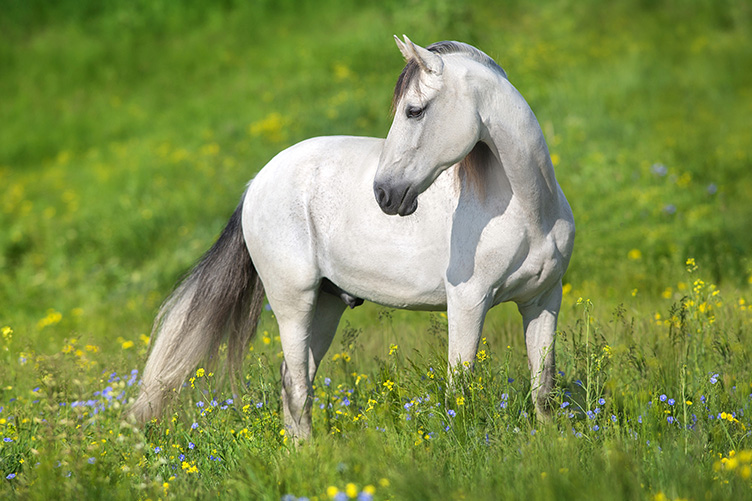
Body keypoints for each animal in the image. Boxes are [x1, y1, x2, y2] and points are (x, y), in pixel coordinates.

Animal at [131, 36, 575, 439]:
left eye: (414, 111)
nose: (384, 194)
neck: (529, 211)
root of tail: (255, 184)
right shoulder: (468, 303)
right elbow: (460, 390)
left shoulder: (543, 300)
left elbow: (543, 388)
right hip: (294, 304)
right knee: (297, 388)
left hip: (328, 304)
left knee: (295, 381)